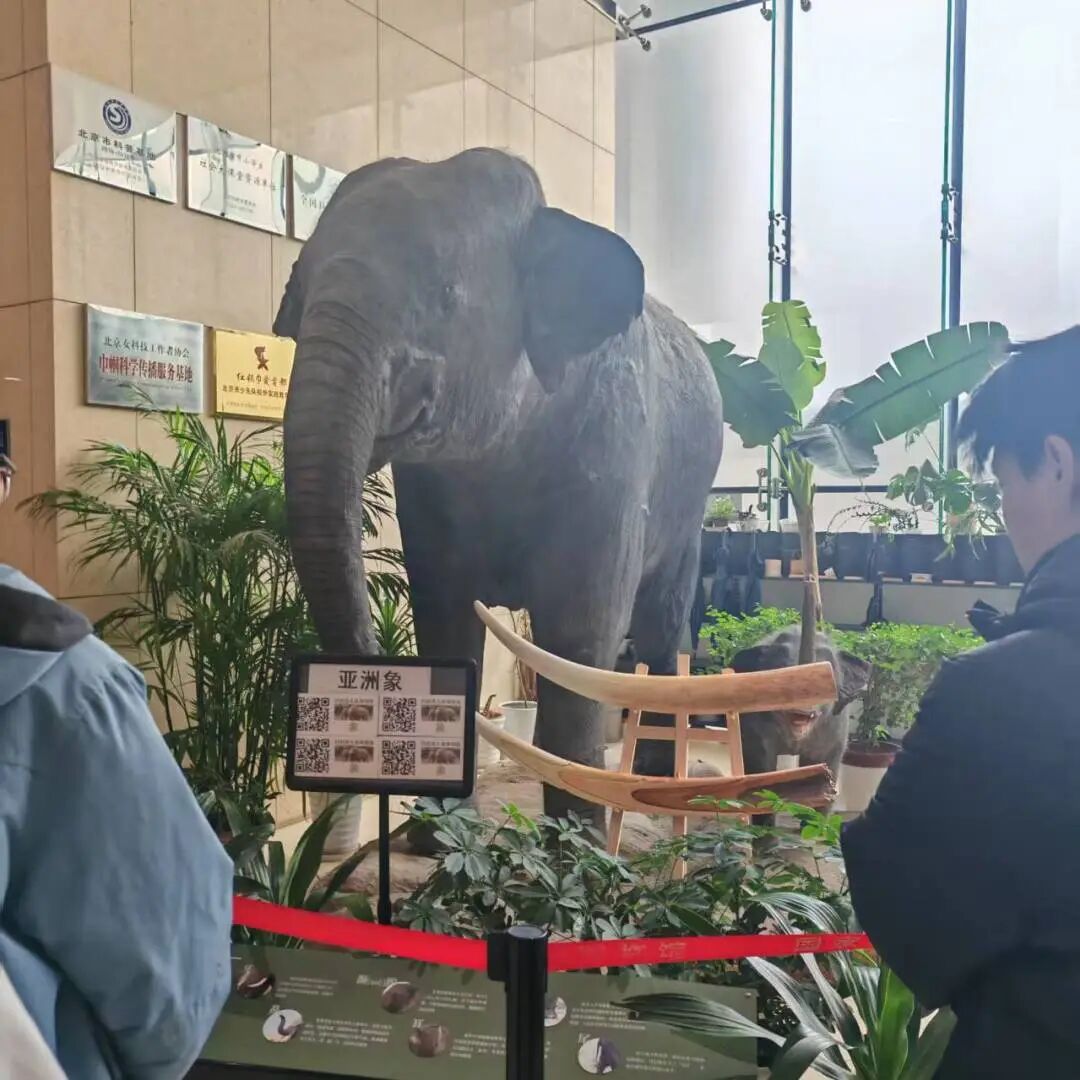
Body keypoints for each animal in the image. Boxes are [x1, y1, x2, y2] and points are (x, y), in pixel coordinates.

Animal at [276, 148, 723, 825]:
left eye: (446, 294)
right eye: (297, 289)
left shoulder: (612, 451)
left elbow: (579, 636)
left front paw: (576, 845)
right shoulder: (427, 491)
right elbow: (441, 611)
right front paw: (435, 835)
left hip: (690, 496)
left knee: (663, 621)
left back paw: (656, 788)